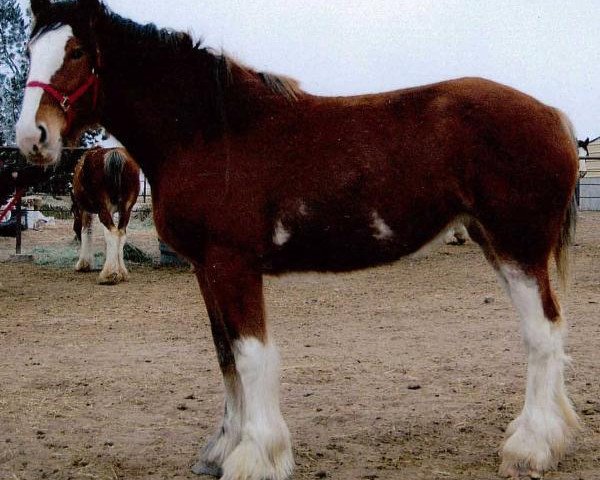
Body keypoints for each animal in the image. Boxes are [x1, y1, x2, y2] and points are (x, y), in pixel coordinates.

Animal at [71, 145, 139, 282]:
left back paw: (109, 275)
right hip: (126, 210)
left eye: (74, 214)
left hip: (103, 208)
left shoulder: (85, 210)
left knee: (112, 232)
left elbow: (87, 231)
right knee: (120, 233)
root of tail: (114, 153)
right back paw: (122, 272)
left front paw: (83, 264)